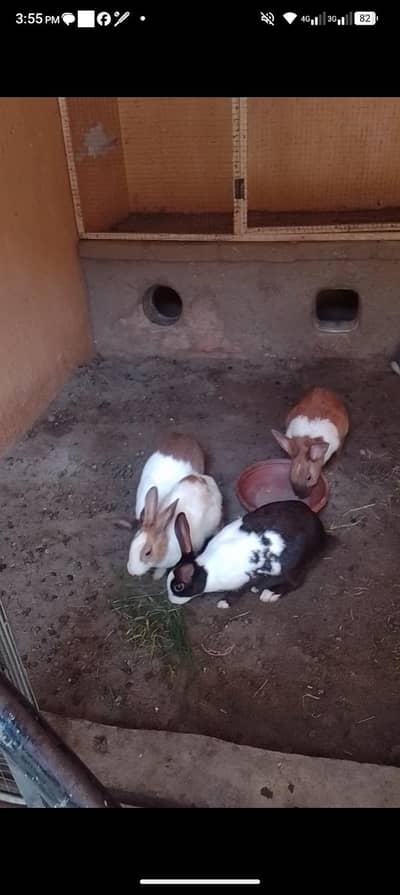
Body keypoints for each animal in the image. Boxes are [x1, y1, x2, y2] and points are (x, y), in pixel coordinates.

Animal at [167, 499, 330, 606]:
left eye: (178, 587)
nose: (171, 600)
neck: (206, 571)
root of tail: (321, 533)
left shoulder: (243, 578)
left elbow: (238, 591)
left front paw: (224, 603)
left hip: (291, 565)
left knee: (296, 582)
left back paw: (270, 593)